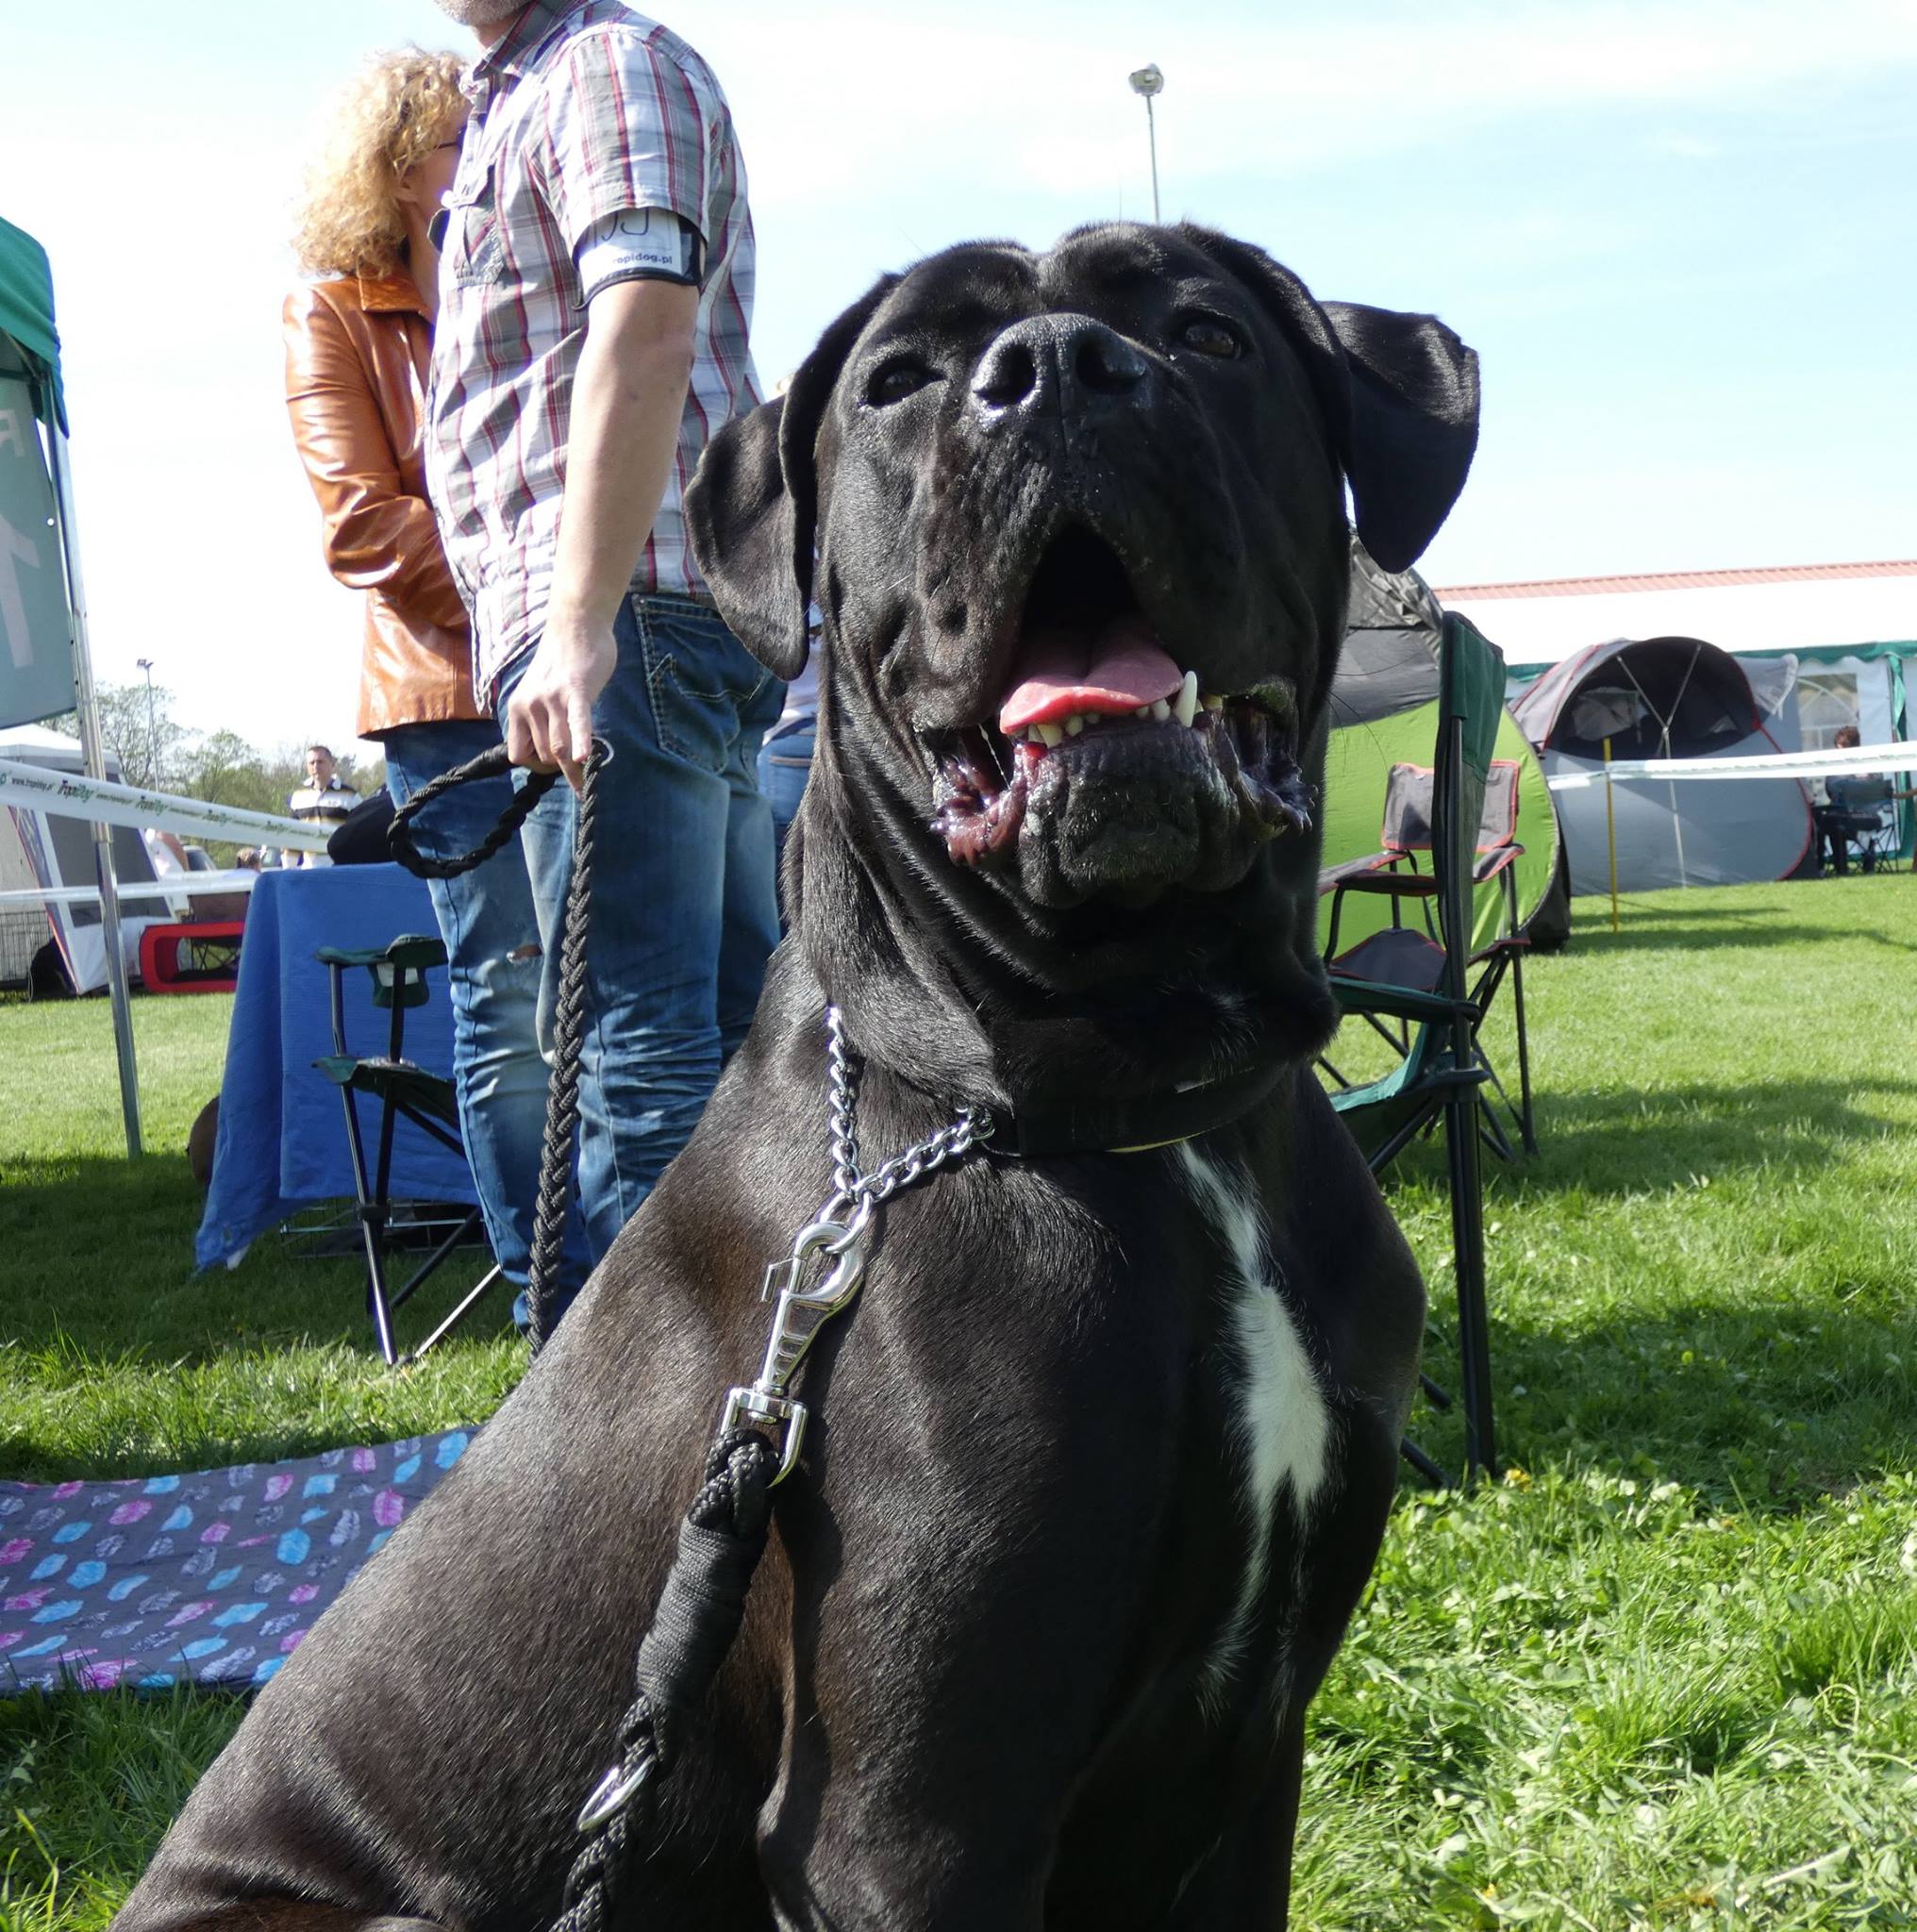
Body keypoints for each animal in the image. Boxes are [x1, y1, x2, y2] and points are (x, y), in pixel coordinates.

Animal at [115, 219, 1468, 1924]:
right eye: (897, 382)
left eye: (1210, 332)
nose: (1051, 370)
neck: (1144, 1107)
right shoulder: (911, 1819)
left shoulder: (1241, 1765)